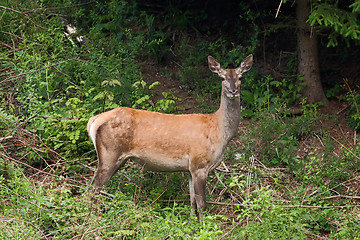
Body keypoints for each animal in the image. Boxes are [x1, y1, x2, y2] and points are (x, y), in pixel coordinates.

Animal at [87, 54, 253, 218]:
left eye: (240, 77)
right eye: (222, 77)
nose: (233, 91)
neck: (219, 132)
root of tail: (94, 120)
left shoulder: (190, 168)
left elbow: (192, 201)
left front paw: (192, 221)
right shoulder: (199, 164)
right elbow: (202, 204)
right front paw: (204, 224)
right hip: (109, 153)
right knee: (93, 189)